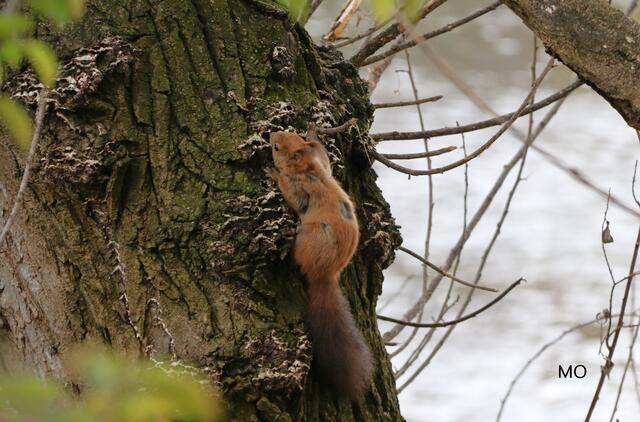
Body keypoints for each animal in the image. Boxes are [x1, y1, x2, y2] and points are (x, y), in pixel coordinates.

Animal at [265, 124, 373, 399]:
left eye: (277, 148)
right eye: (291, 134)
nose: (271, 135)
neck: (306, 168)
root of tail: (325, 276)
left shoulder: (300, 188)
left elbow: (291, 194)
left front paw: (272, 173)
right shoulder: (322, 164)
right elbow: (325, 157)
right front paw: (314, 134)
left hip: (310, 235)